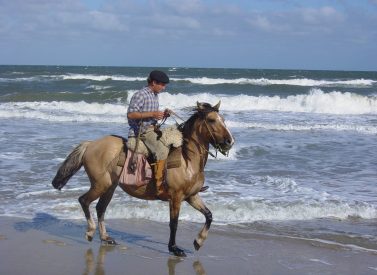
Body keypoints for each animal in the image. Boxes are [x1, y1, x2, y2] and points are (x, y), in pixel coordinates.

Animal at [51, 102, 234, 258]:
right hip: (100, 184)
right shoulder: (176, 198)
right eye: (211, 120)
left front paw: (198, 241)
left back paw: (105, 238)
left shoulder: (192, 196)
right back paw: (90, 231)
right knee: (84, 201)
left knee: (100, 208)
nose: (229, 141)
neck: (187, 159)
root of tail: (90, 144)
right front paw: (174, 248)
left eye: (223, 120)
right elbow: (174, 223)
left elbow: (209, 215)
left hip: (110, 187)